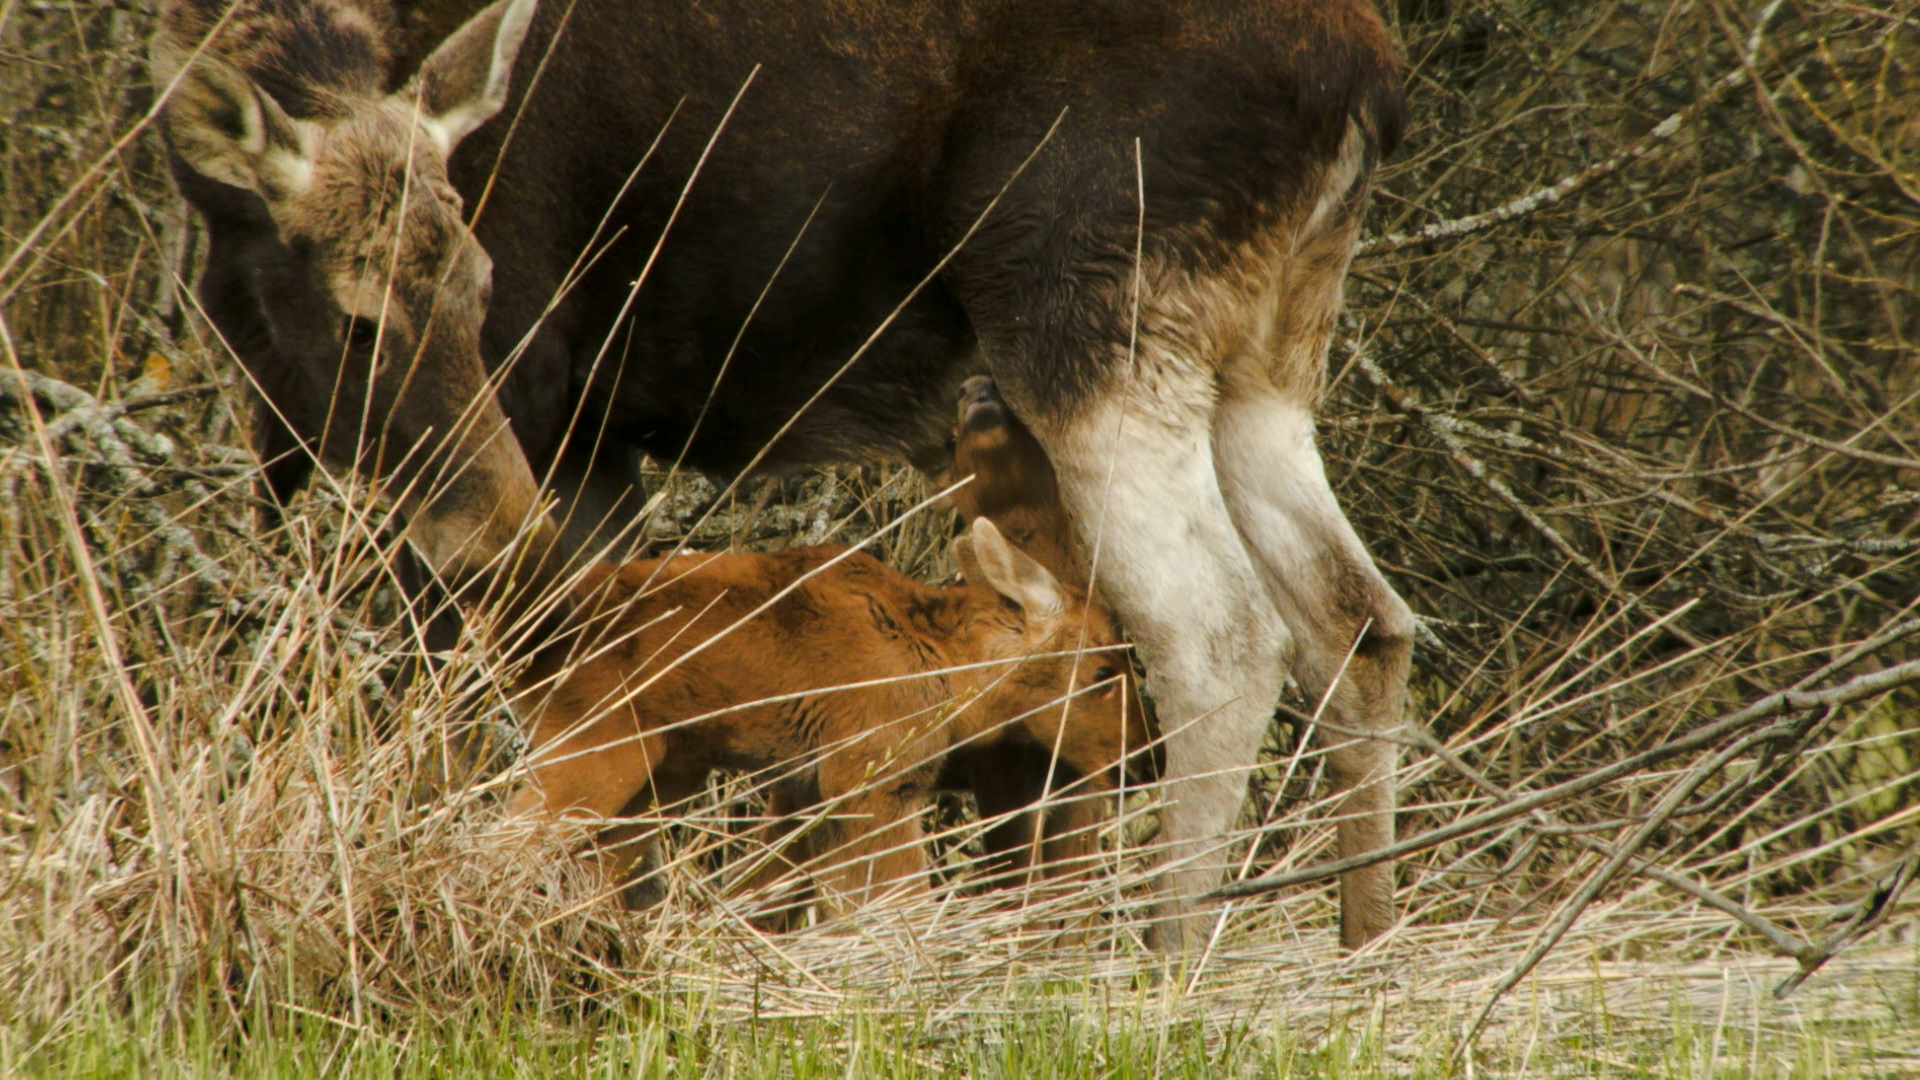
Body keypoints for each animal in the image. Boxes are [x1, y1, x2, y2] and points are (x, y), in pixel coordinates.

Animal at [153, 0, 1413, 941]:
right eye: (358, 319)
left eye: (479, 282)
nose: (499, 528)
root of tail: (1372, 81)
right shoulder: (601, 445)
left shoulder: (548, 388)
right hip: (1265, 357)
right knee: (1359, 617)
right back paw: (1364, 939)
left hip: (1090, 315)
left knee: (1219, 631)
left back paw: (1160, 961)